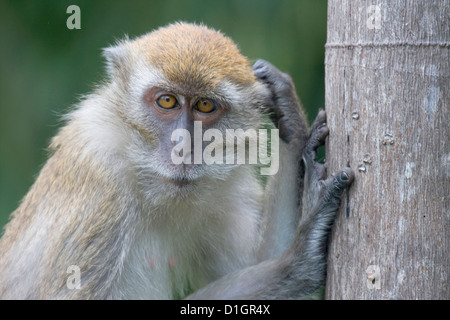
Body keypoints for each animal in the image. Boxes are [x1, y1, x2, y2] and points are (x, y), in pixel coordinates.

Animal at [0, 23, 354, 300]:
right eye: (167, 101)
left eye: (205, 106)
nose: (183, 145)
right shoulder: (100, 180)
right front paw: (298, 259)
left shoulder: (223, 189)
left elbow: (254, 259)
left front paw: (293, 126)